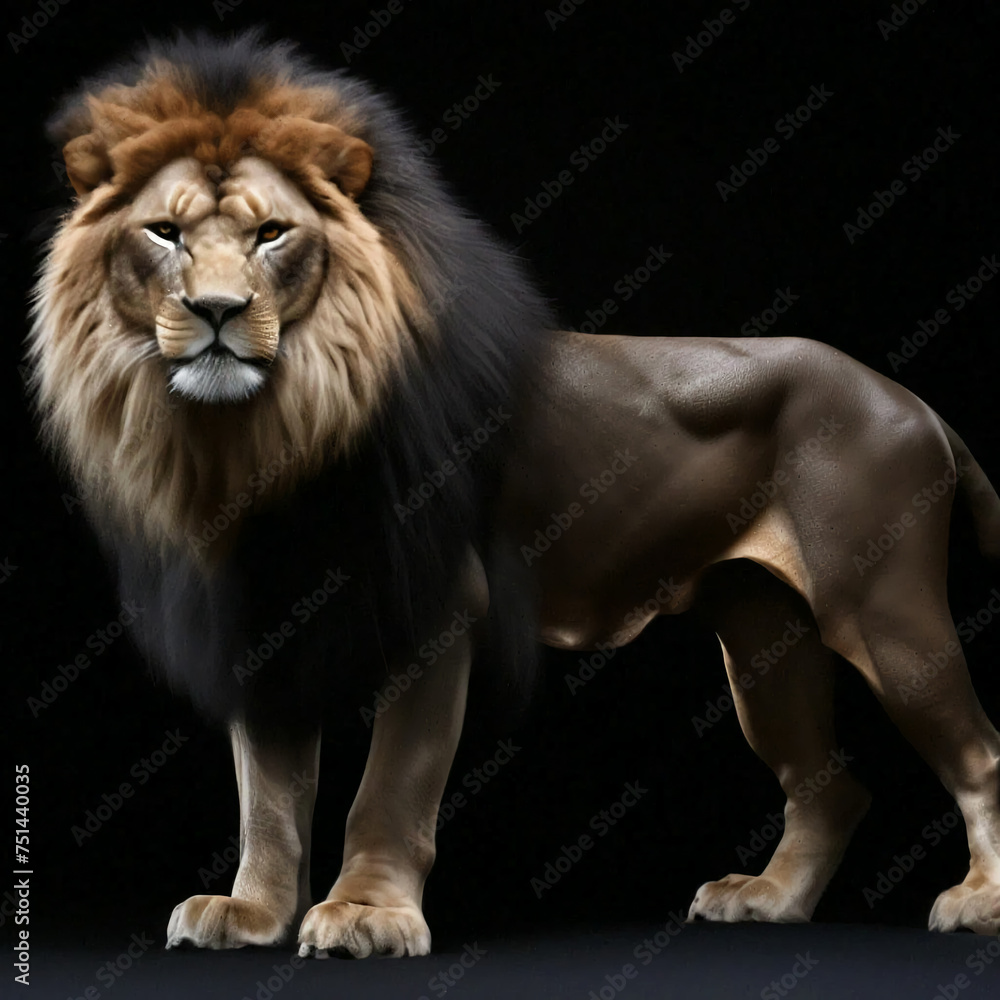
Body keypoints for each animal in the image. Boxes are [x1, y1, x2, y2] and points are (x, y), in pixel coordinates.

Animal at [27, 30, 1000, 958]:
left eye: (272, 233)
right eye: (164, 232)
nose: (218, 311)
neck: (262, 436)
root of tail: (913, 403)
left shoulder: (441, 605)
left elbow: (391, 784)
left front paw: (366, 915)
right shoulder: (265, 620)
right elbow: (266, 798)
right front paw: (254, 913)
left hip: (883, 611)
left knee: (980, 755)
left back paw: (979, 904)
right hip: (764, 638)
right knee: (832, 789)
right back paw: (768, 901)